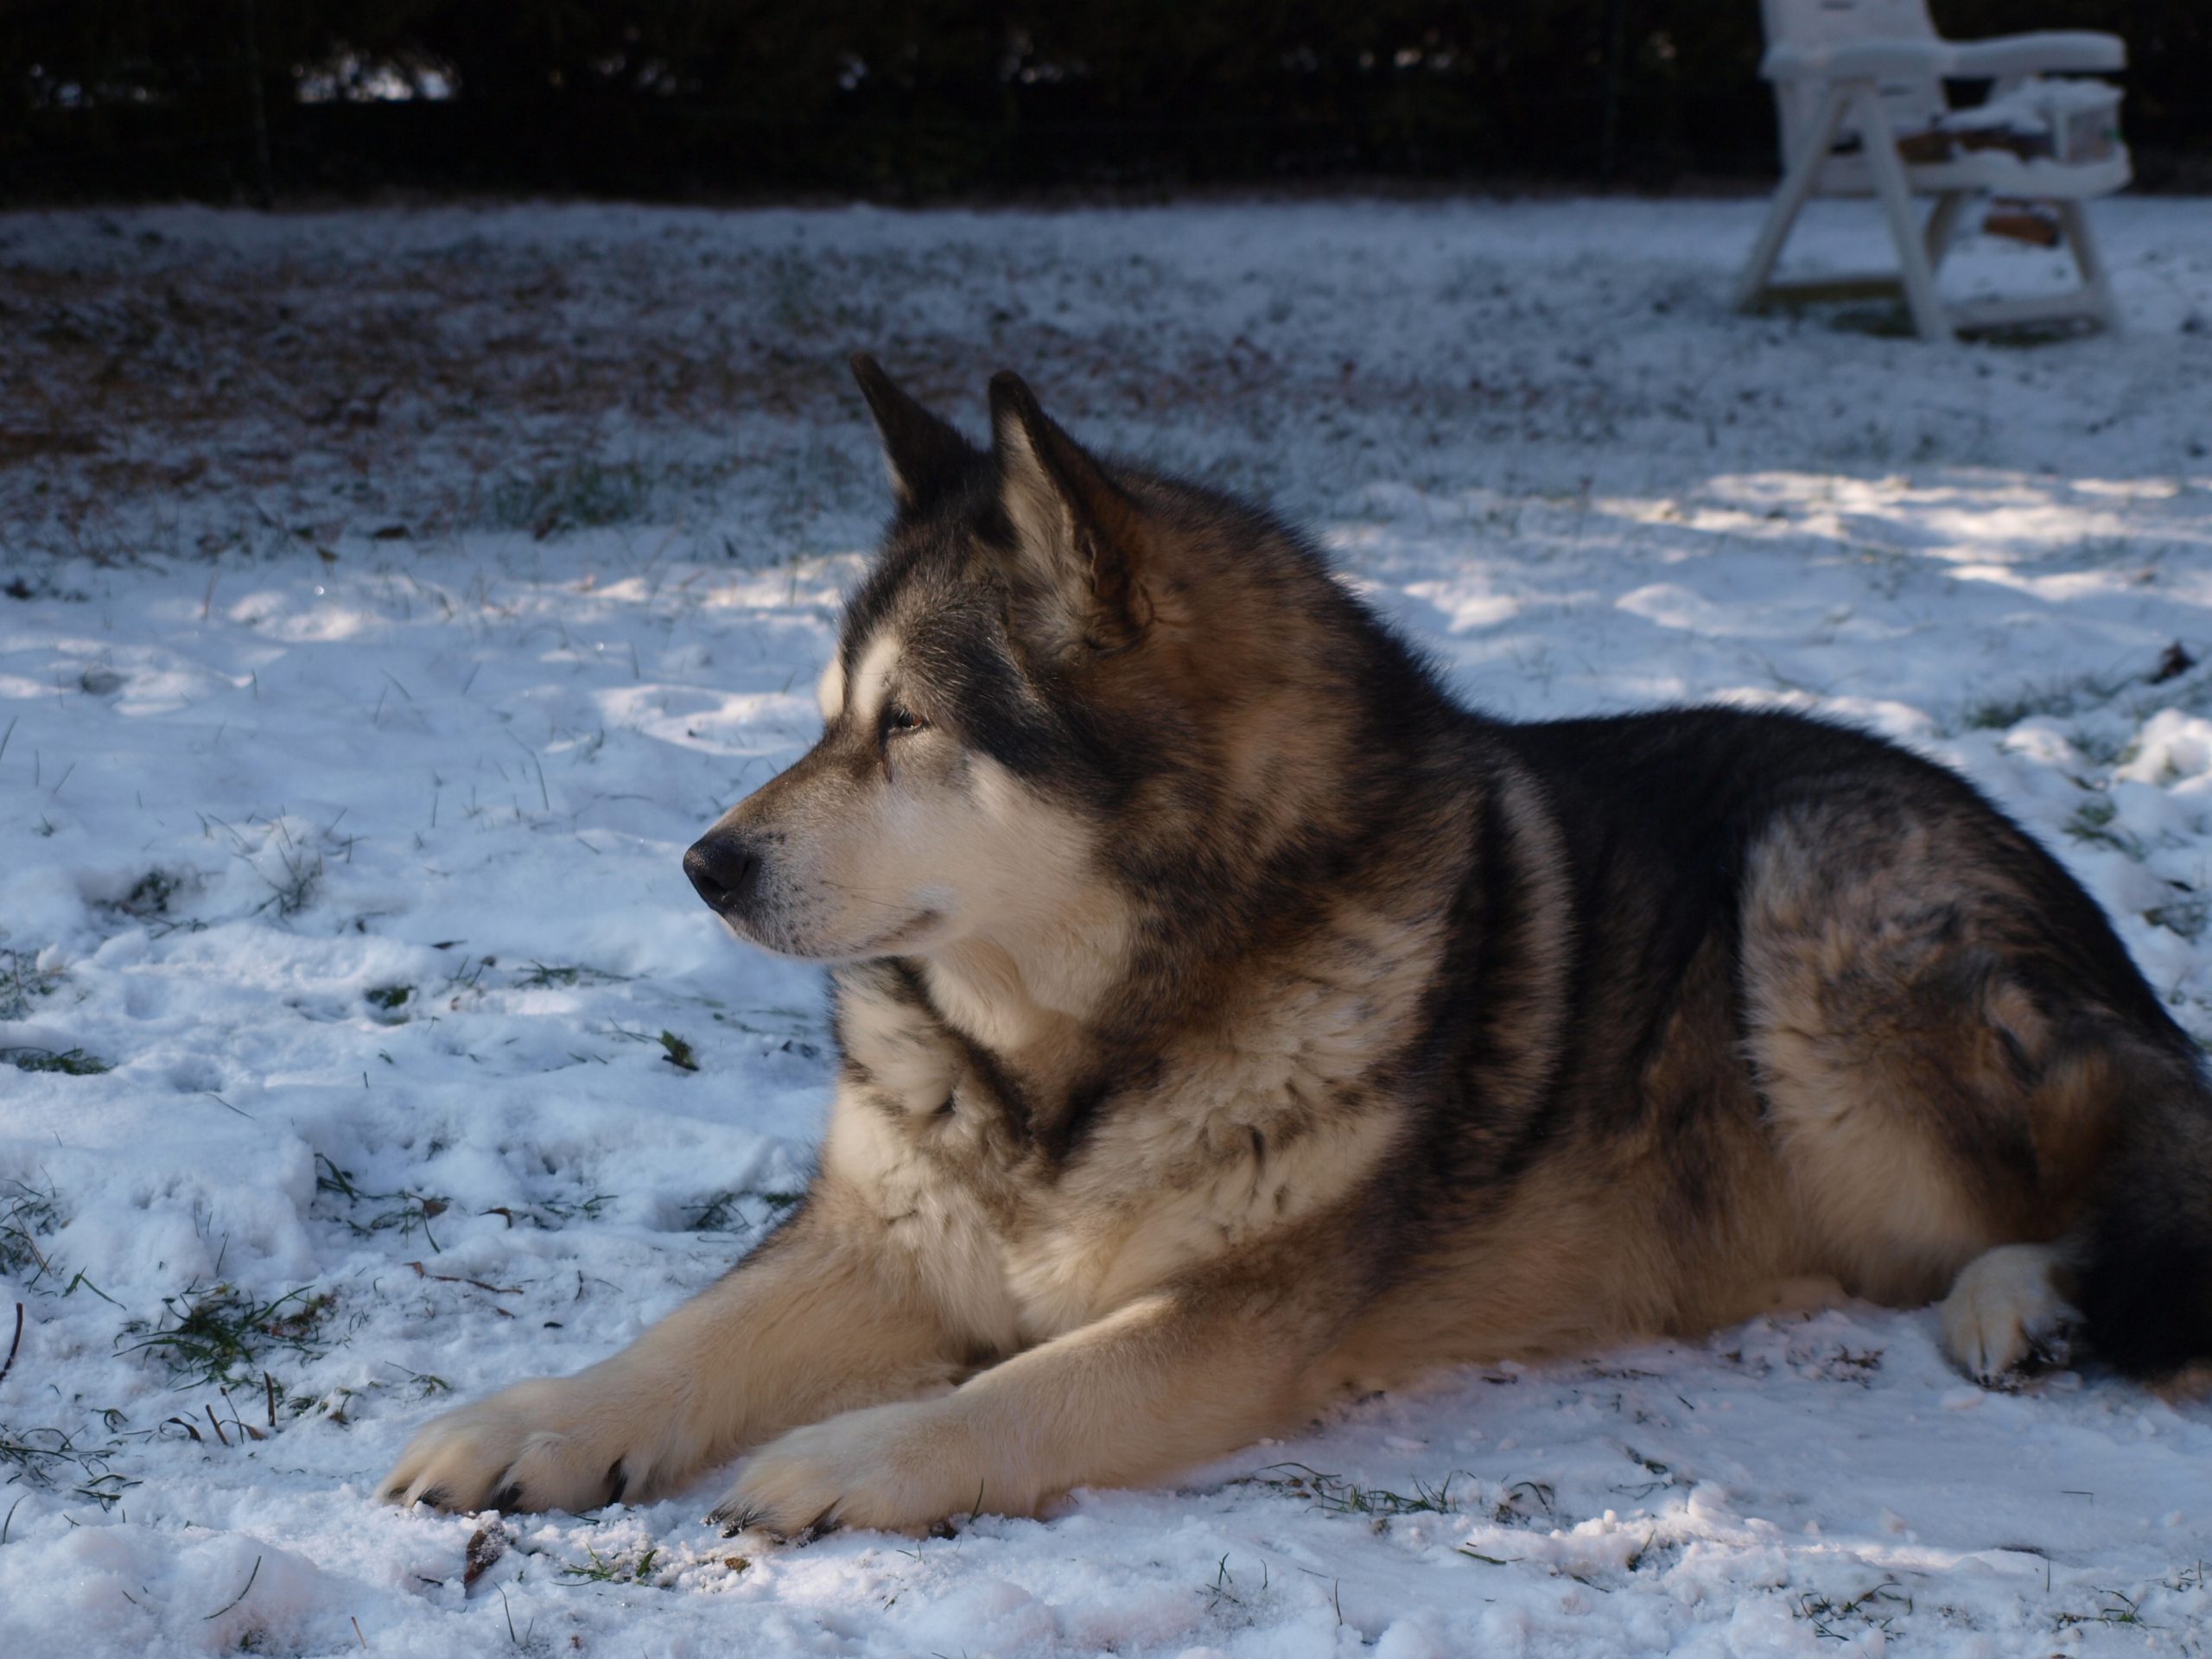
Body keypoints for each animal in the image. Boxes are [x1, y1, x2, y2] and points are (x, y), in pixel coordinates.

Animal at [380, 358, 2212, 1539]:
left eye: (909, 727)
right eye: (827, 718)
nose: (704, 864)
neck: (1075, 1048)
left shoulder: (1238, 1315)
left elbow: (1014, 1395)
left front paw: (856, 1455)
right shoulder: (878, 1239)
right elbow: (677, 1344)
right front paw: (528, 1424)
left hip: (1817, 943)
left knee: (2127, 1188)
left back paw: (2017, 1304)